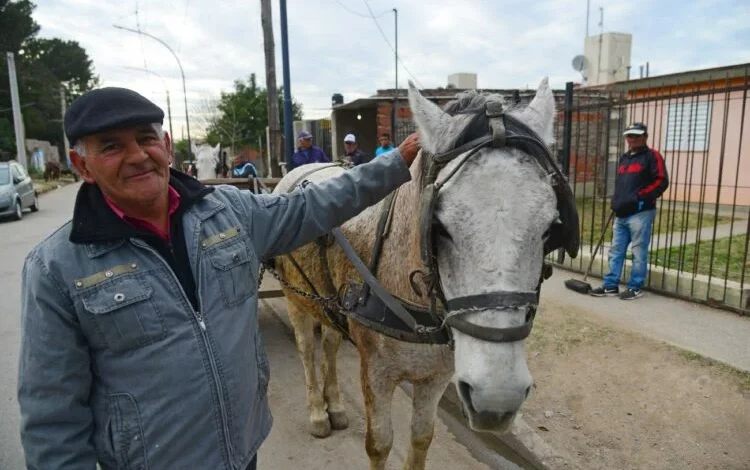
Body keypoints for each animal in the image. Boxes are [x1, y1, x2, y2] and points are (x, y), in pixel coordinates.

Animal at [270, 78, 578, 470]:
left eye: (550, 227)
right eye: (439, 227)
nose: (496, 398)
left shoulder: (438, 377)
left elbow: (421, 437)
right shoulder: (377, 371)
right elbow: (380, 443)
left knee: (329, 346)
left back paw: (335, 405)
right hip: (296, 298)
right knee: (308, 350)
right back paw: (317, 412)